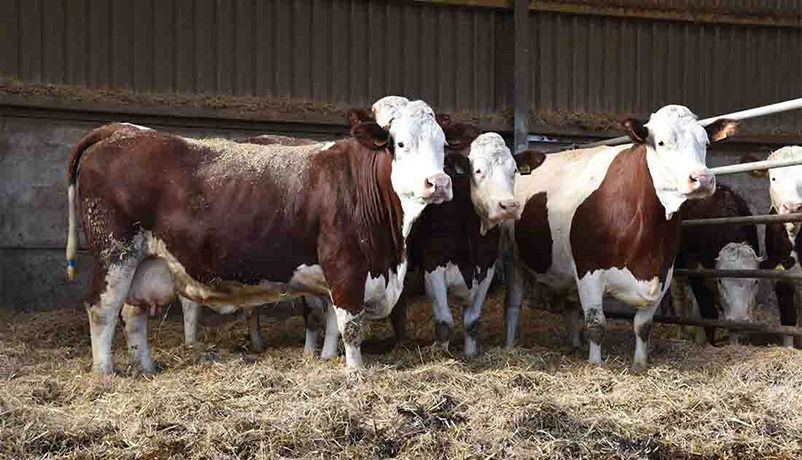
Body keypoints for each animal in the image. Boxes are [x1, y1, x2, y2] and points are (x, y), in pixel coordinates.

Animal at [65, 96, 453, 374]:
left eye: (444, 146)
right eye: (399, 144)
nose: (439, 183)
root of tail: (125, 131)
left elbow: (331, 321)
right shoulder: (345, 267)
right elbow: (350, 327)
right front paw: (355, 373)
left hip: (146, 262)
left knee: (134, 315)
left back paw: (145, 368)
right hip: (114, 253)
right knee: (102, 309)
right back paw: (105, 375)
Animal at [502, 105, 740, 369]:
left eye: (706, 143)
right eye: (661, 142)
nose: (703, 179)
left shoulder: (663, 273)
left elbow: (643, 326)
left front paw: (640, 365)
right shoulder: (588, 271)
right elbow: (596, 324)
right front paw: (595, 364)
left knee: (571, 308)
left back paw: (575, 345)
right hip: (514, 259)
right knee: (513, 305)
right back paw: (510, 344)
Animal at [670, 184, 762, 345]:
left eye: (755, 282)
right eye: (720, 281)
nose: (739, 319)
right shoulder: (695, 271)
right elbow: (708, 313)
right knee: (679, 299)